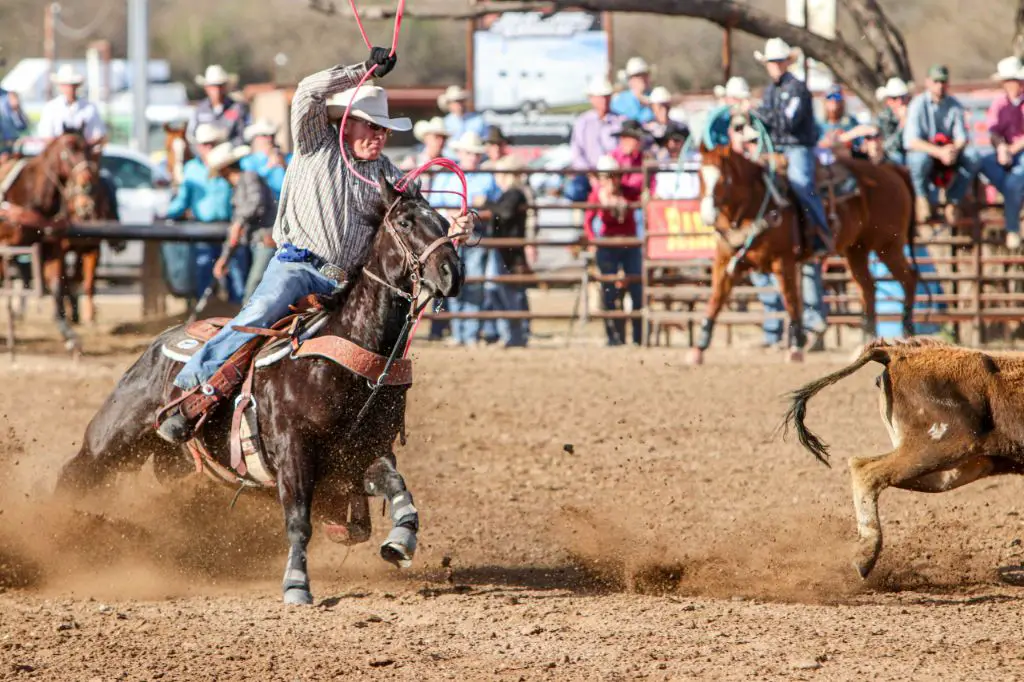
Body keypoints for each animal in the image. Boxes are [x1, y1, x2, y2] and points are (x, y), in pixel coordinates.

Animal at [0, 129, 99, 350]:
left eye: (88, 149)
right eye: (69, 149)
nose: (87, 183)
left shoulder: (52, 246)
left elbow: (55, 286)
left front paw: (69, 333)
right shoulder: (5, 245)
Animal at [51, 174, 460, 602]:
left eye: (445, 224)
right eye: (406, 223)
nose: (452, 274)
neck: (351, 359)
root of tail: (164, 337)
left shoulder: (358, 455)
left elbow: (398, 489)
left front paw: (400, 541)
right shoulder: (294, 451)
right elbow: (298, 521)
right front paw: (296, 584)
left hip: (177, 467)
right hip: (112, 439)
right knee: (74, 475)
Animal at [688, 144, 921, 364]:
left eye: (725, 180)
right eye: (699, 175)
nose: (707, 215)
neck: (758, 203)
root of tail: (890, 169)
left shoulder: (783, 261)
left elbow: (791, 300)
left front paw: (796, 348)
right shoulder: (725, 262)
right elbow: (715, 300)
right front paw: (698, 349)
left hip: (888, 246)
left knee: (909, 279)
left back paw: (907, 331)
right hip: (856, 250)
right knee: (868, 289)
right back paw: (866, 340)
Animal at [782, 337, 1024, 577]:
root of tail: (894, 354)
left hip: (958, 466)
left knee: (861, 465)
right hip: (939, 447)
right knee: (867, 471)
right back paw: (866, 556)